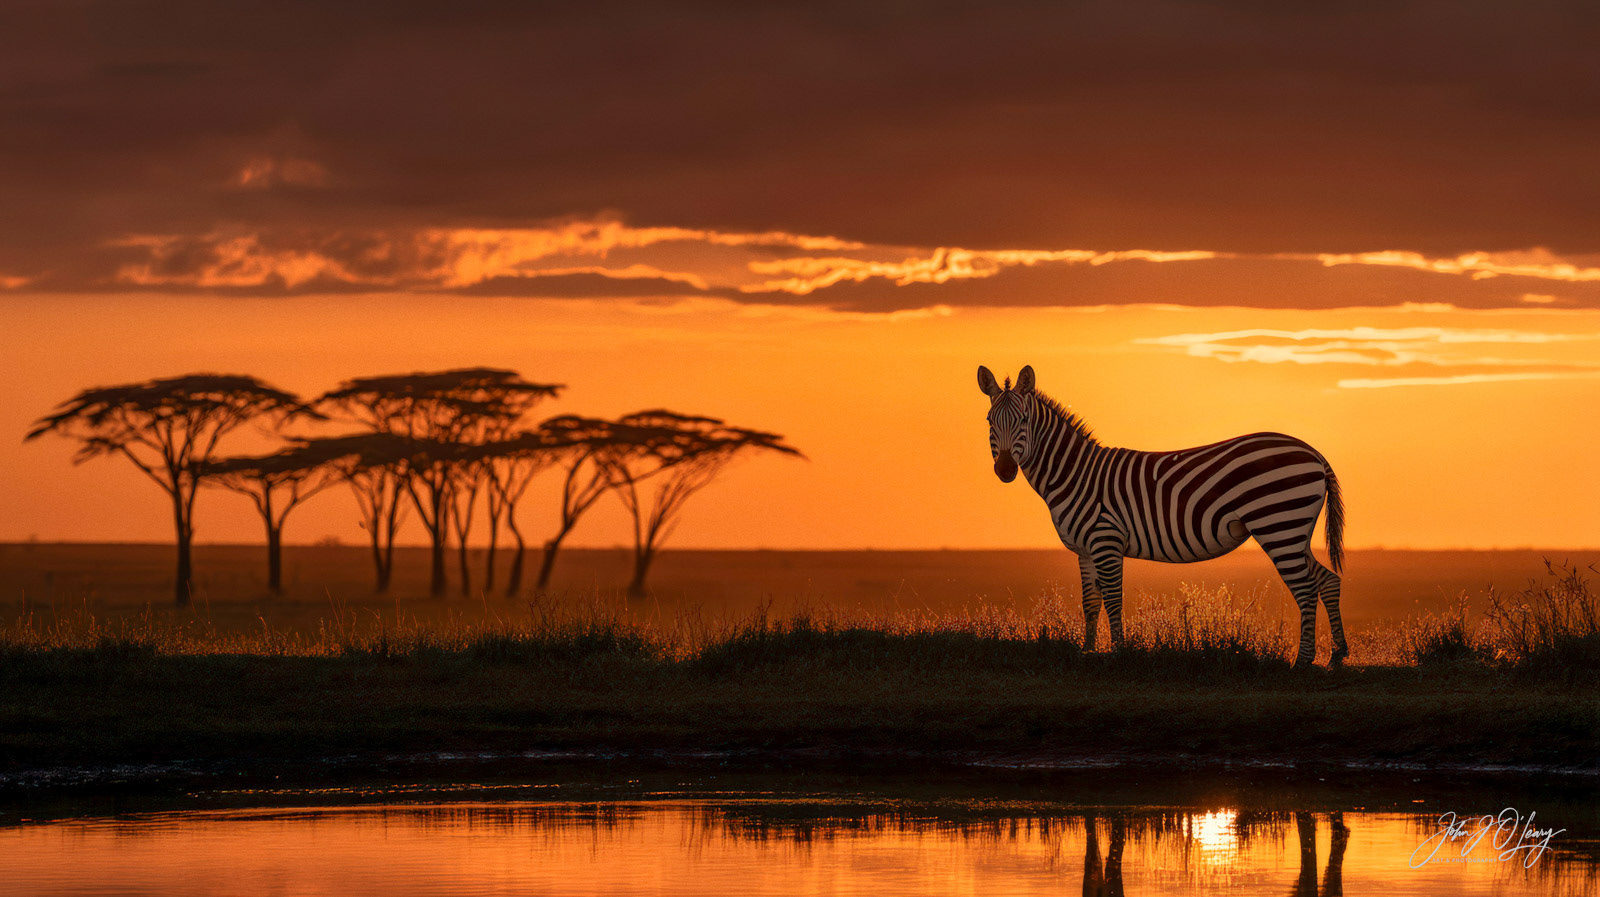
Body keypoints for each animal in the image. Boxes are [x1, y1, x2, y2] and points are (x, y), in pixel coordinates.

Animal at [978, 364, 1348, 668]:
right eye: (989, 421)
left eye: (1024, 420)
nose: (1005, 470)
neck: (1075, 474)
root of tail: (1314, 453)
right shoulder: (1085, 550)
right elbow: (1090, 602)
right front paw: (1087, 650)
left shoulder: (1105, 539)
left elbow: (1113, 599)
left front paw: (1119, 653)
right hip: (1293, 530)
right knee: (1327, 580)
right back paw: (1337, 656)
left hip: (1277, 524)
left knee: (1305, 588)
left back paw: (1302, 662)